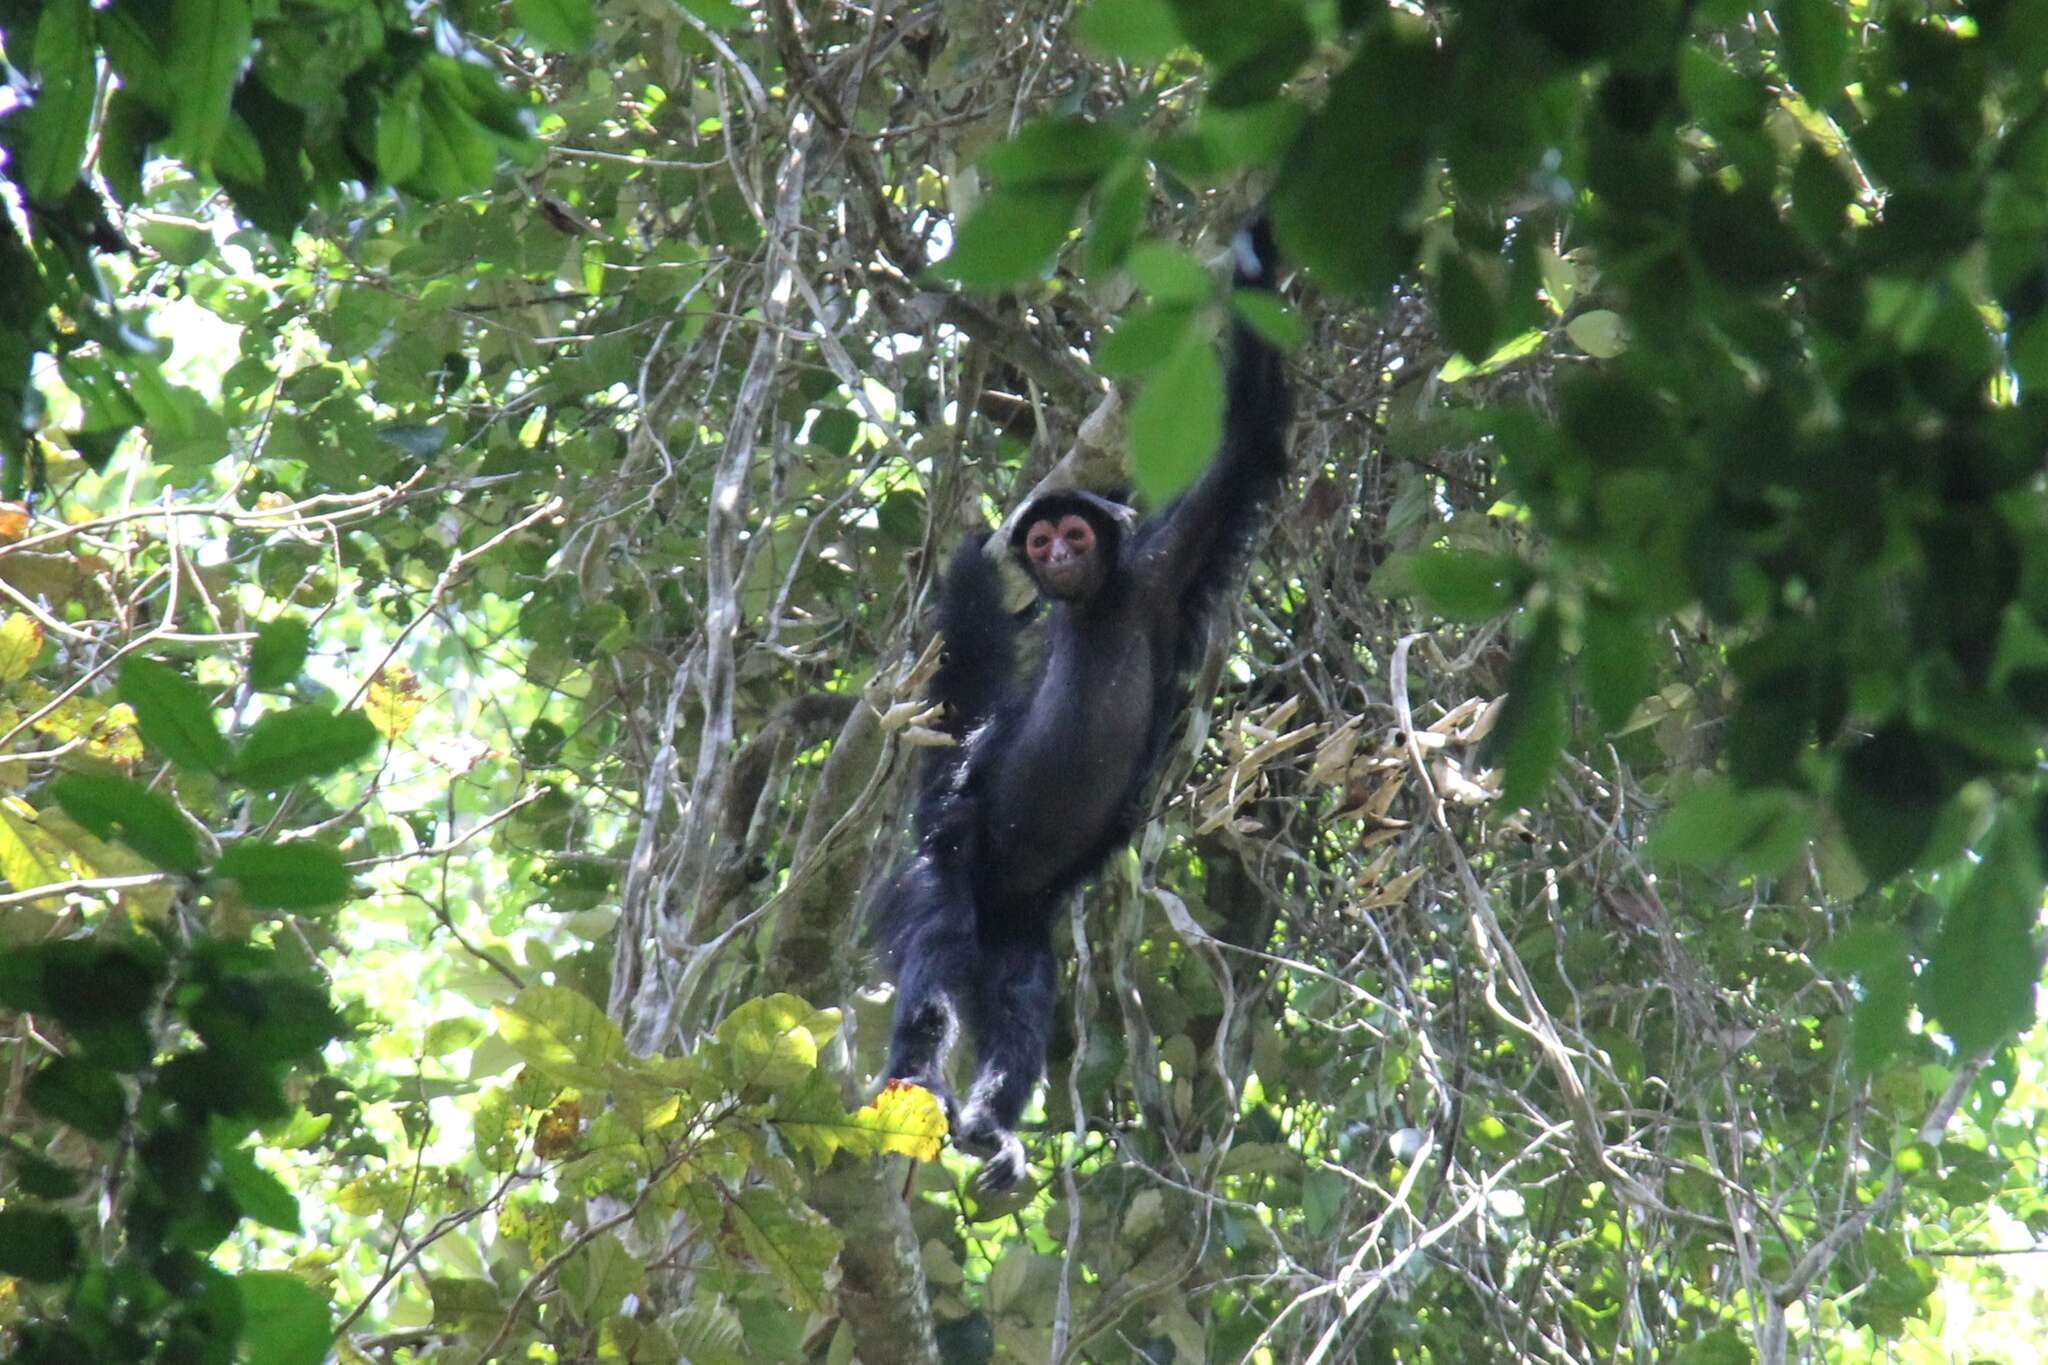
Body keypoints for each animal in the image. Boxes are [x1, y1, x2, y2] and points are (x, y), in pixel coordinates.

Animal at [872, 215, 1286, 1195]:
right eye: (1044, 542)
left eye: (1071, 534)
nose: (1054, 552)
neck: (1097, 608)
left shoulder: (1166, 568)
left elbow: (1249, 438)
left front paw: (1259, 253)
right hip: (951, 868)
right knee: (940, 953)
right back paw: (918, 1084)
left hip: (1019, 924)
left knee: (1019, 996)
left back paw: (990, 1126)